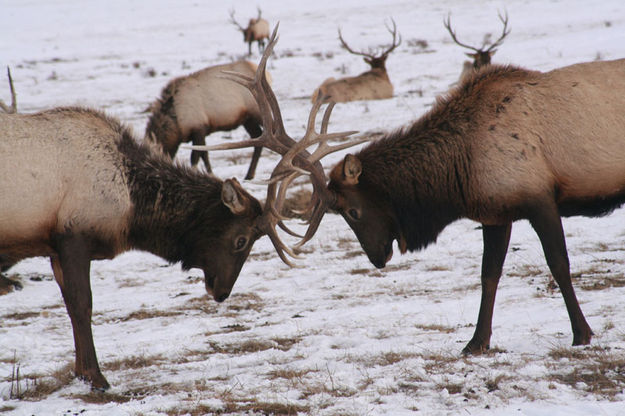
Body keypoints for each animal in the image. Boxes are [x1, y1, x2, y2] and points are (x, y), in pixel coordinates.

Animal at [0, 26, 360, 390]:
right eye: (241, 240)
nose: (221, 292)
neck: (130, 207)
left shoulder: (54, 245)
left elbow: (71, 308)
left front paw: (81, 371)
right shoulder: (72, 236)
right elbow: (81, 306)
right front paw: (95, 376)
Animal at [324, 56, 624, 354]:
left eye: (353, 211)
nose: (376, 257)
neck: (460, 172)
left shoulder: (541, 200)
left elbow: (559, 264)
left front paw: (582, 333)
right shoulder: (496, 215)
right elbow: (488, 274)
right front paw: (477, 342)